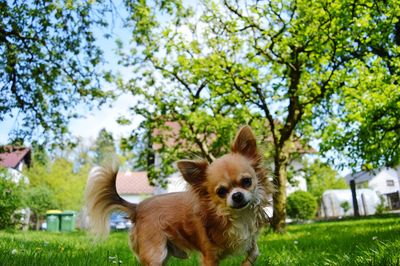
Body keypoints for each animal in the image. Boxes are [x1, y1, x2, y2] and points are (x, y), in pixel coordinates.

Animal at [84, 126, 272, 266]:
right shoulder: (209, 255)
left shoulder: (250, 239)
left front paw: (246, 263)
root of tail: (137, 207)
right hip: (156, 252)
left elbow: (255, 252)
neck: (236, 215)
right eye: (221, 192)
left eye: (247, 181)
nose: (237, 195)